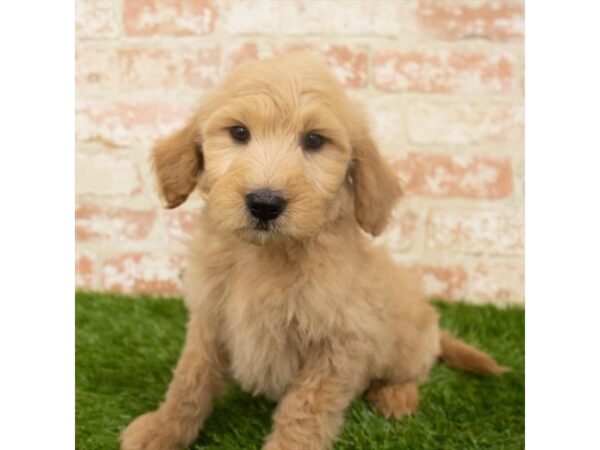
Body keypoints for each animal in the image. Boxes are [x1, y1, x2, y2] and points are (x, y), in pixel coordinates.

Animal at [119, 51, 504, 450]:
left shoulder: (338, 342)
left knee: (411, 370)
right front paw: (163, 428)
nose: (265, 203)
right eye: (239, 132)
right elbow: (190, 380)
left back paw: (396, 395)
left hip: (409, 339)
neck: (266, 256)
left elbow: (306, 407)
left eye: (314, 140)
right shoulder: (211, 319)